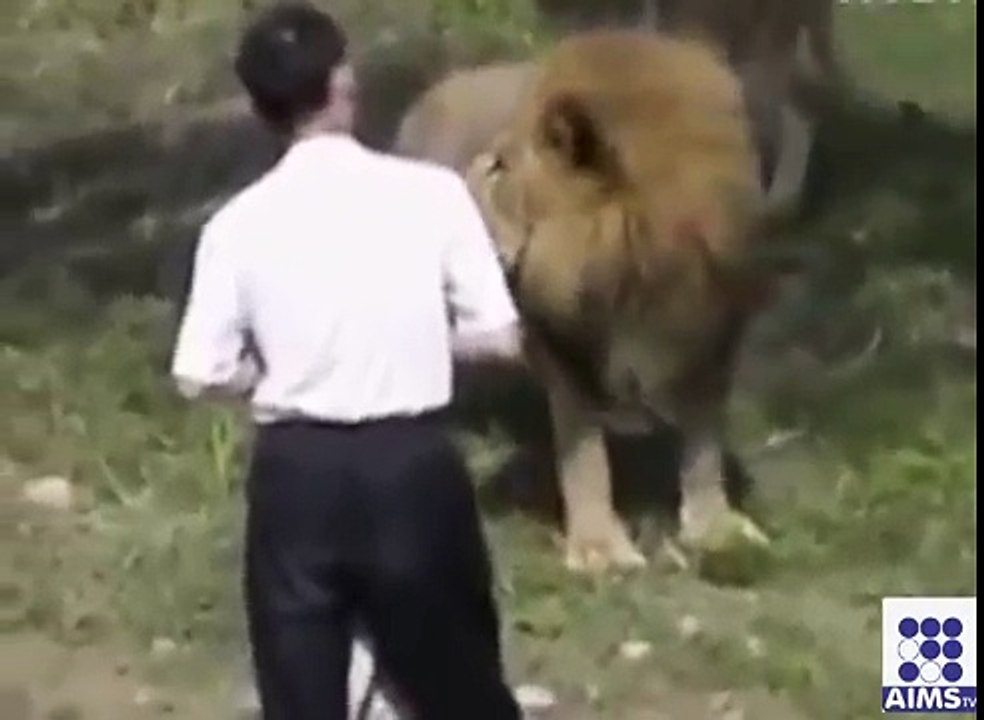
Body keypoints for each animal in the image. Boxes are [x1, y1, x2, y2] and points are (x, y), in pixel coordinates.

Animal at [411, 30, 775, 573]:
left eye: (500, 167)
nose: (450, 183)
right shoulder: (562, 348)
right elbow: (584, 451)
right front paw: (600, 550)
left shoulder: (715, 337)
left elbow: (703, 443)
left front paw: (716, 531)